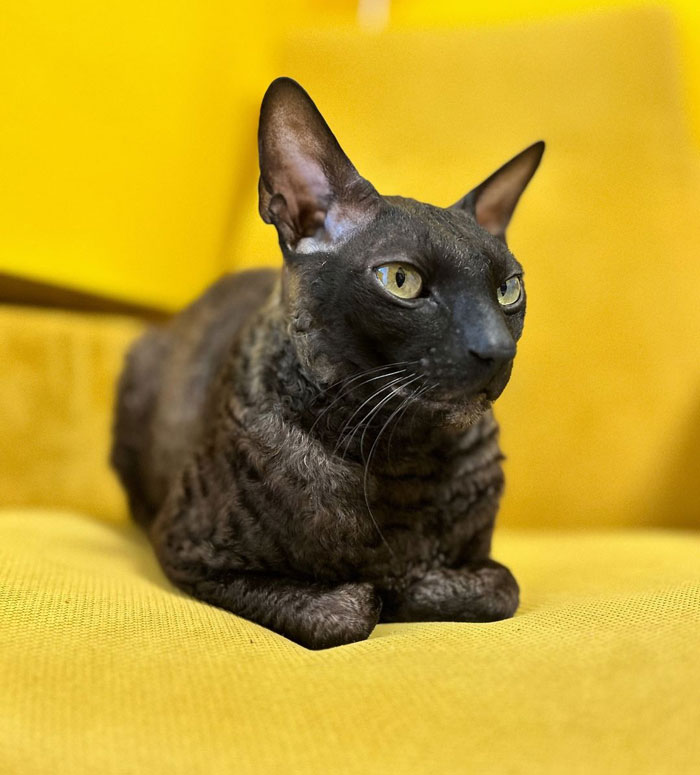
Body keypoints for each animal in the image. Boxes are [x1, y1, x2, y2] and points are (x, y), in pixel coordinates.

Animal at [110, 77, 548, 648]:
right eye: (401, 280)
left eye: (508, 290)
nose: (497, 349)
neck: (400, 455)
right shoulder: (189, 549)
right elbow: (347, 609)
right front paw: (386, 585)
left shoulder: (485, 563)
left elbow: (499, 586)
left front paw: (410, 579)